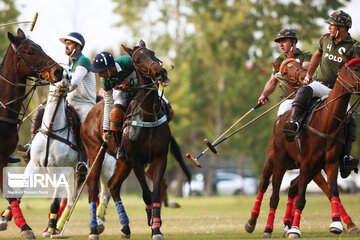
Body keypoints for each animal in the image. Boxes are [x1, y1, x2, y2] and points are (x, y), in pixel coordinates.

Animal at [81, 40, 172, 239]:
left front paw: (156, 227)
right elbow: (146, 194)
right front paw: (151, 221)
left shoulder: (160, 157)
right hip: (95, 153)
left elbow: (155, 194)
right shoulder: (137, 160)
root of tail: (88, 115)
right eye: (137, 60)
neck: (148, 114)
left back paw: (125, 227)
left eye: (153, 53)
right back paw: (93, 229)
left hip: (123, 161)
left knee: (113, 186)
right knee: (93, 190)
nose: (160, 73)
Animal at [243, 58, 358, 238]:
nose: (305, 77)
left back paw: (285, 225)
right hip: (275, 162)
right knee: (268, 190)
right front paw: (295, 229)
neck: (328, 122)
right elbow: (303, 196)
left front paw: (339, 224)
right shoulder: (308, 164)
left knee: (290, 187)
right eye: (285, 71)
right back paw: (258, 225)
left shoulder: (329, 164)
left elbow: (332, 191)